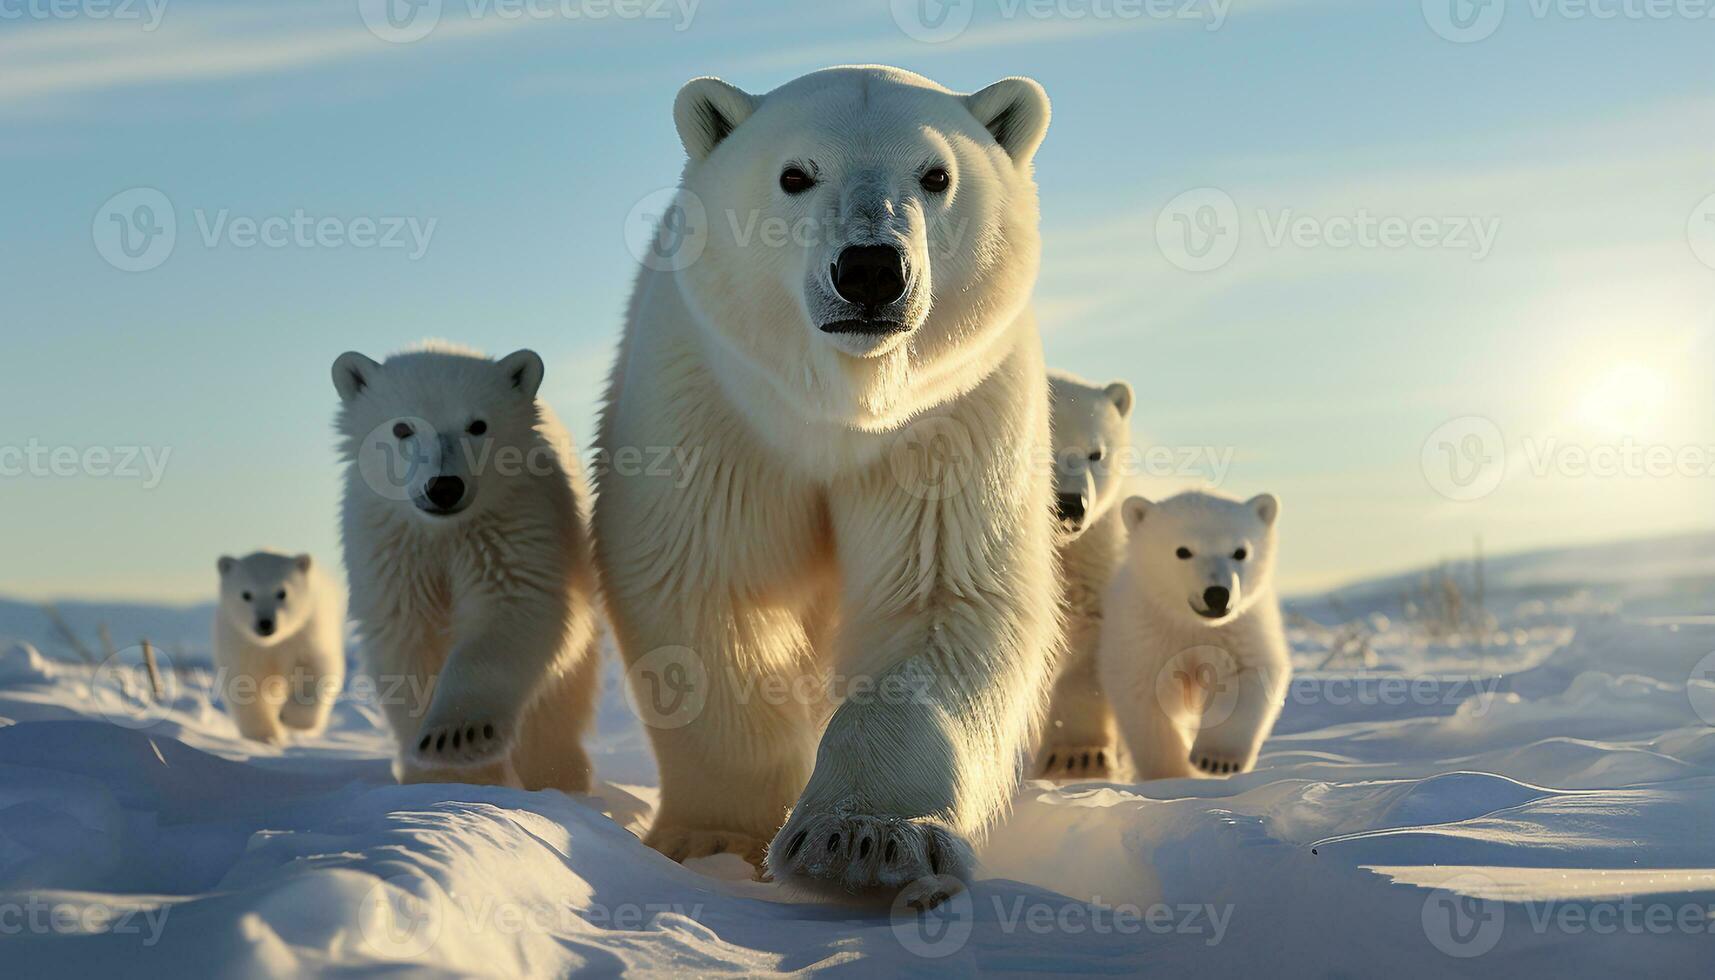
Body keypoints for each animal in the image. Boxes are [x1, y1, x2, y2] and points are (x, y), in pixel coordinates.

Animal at [600, 66, 1056, 899]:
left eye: (936, 175)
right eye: (794, 174)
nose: (870, 269)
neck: (840, 407)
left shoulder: (946, 417)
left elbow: (939, 597)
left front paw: (863, 840)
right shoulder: (716, 404)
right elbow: (709, 590)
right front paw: (715, 836)